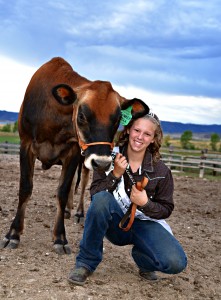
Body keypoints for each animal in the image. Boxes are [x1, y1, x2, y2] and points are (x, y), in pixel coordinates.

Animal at [0, 57, 150, 254]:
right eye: (82, 115)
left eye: (118, 119)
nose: (102, 163)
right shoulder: (26, 145)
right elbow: (25, 188)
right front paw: (13, 234)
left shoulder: (73, 152)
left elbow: (63, 191)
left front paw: (59, 237)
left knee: (83, 181)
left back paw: (78, 211)